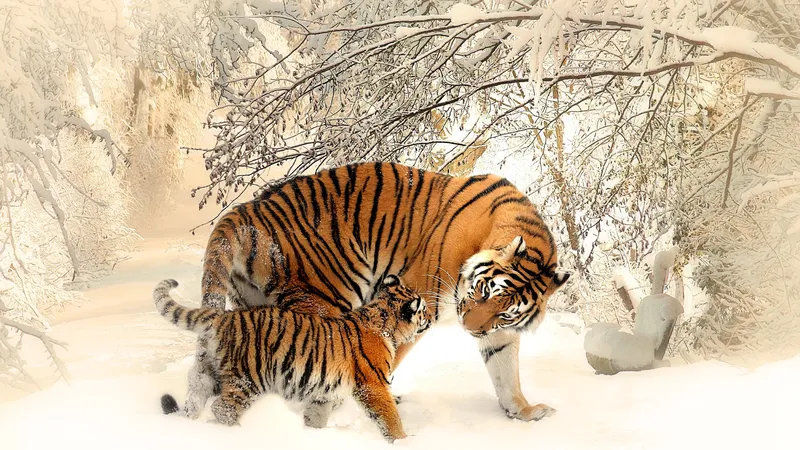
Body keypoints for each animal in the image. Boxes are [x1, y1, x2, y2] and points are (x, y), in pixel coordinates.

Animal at [154, 275, 430, 442]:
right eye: (424, 310)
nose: (429, 318)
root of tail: (224, 316)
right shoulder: (373, 385)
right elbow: (389, 416)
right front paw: (403, 440)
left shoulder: (324, 392)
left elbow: (316, 415)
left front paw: (312, 435)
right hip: (248, 378)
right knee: (223, 408)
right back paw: (237, 434)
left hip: (207, 372)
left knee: (195, 398)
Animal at [176, 162, 570, 424]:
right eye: (484, 290)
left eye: (505, 311)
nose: (470, 329)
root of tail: (247, 209)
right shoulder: (418, 298)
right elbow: (382, 359)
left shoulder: (499, 332)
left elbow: (506, 371)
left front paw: (523, 411)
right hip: (326, 297)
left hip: (254, 306)